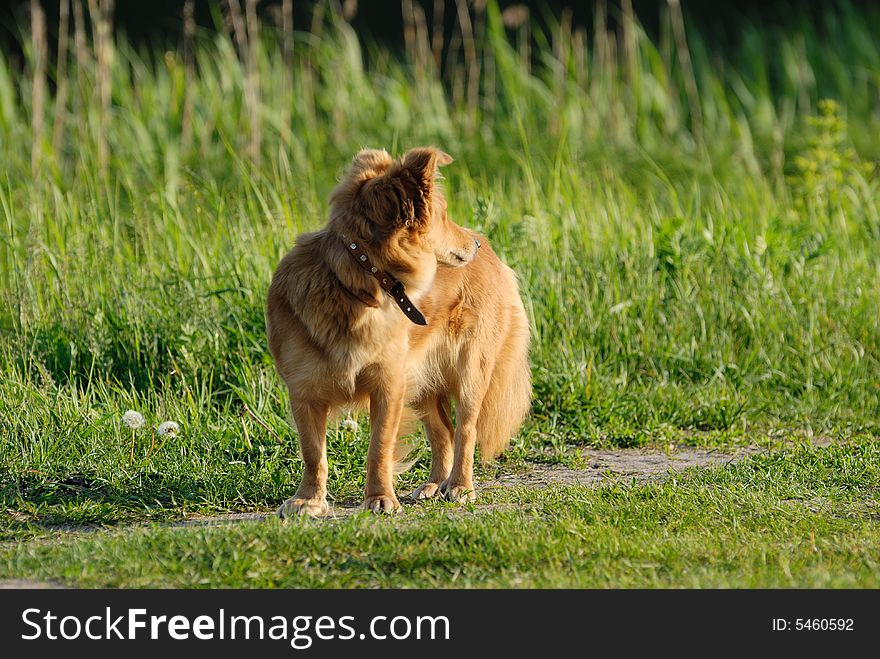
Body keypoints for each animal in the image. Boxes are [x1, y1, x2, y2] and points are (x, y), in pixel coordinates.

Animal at [266, 148, 528, 516]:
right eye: (443, 215)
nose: (474, 242)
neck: (351, 286)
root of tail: (494, 254)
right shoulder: (304, 392)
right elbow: (313, 453)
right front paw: (309, 499)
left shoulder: (389, 385)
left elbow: (379, 447)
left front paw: (379, 498)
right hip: (420, 380)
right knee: (444, 432)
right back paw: (436, 484)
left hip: (469, 371)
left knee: (466, 430)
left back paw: (460, 486)